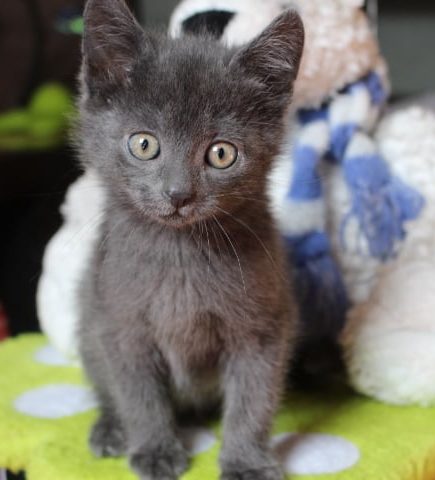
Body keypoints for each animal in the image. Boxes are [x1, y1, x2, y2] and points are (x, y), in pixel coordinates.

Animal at [77, 0, 304, 480]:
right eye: (144, 144)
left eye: (221, 153)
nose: (178, 194)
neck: (180, 250)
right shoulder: (118, 323)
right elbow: (138, 394)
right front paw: (155, 450)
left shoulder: (264, 325)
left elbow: (254, 399)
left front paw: (245, 461)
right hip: (87, 322)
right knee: (106, 387)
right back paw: (110, 428)